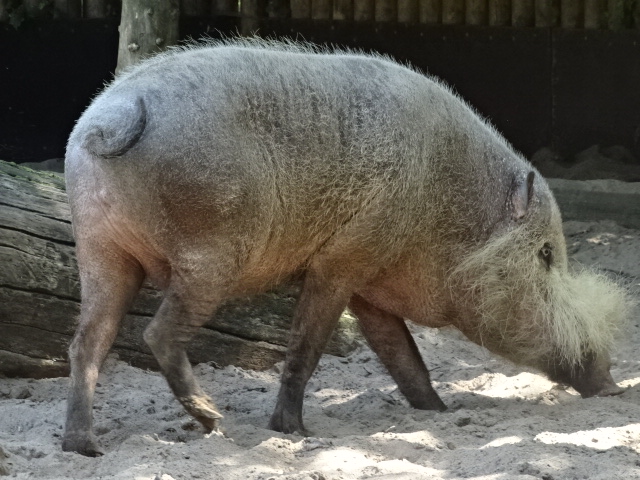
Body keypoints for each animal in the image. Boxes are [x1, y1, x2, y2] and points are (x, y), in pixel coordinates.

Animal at [62, 39, 630, 456]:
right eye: (546, 255)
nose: (612, 385)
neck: (446, 205)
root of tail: (111, 117)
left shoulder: (369, 285)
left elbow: (405, 357)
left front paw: (442, 414)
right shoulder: (342, 262)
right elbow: (307, 345)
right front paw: (294, 432)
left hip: (99, 250)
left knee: (87, 344)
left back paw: (84, 447)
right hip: (209, 257)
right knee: (155, 334)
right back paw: (213, 421)